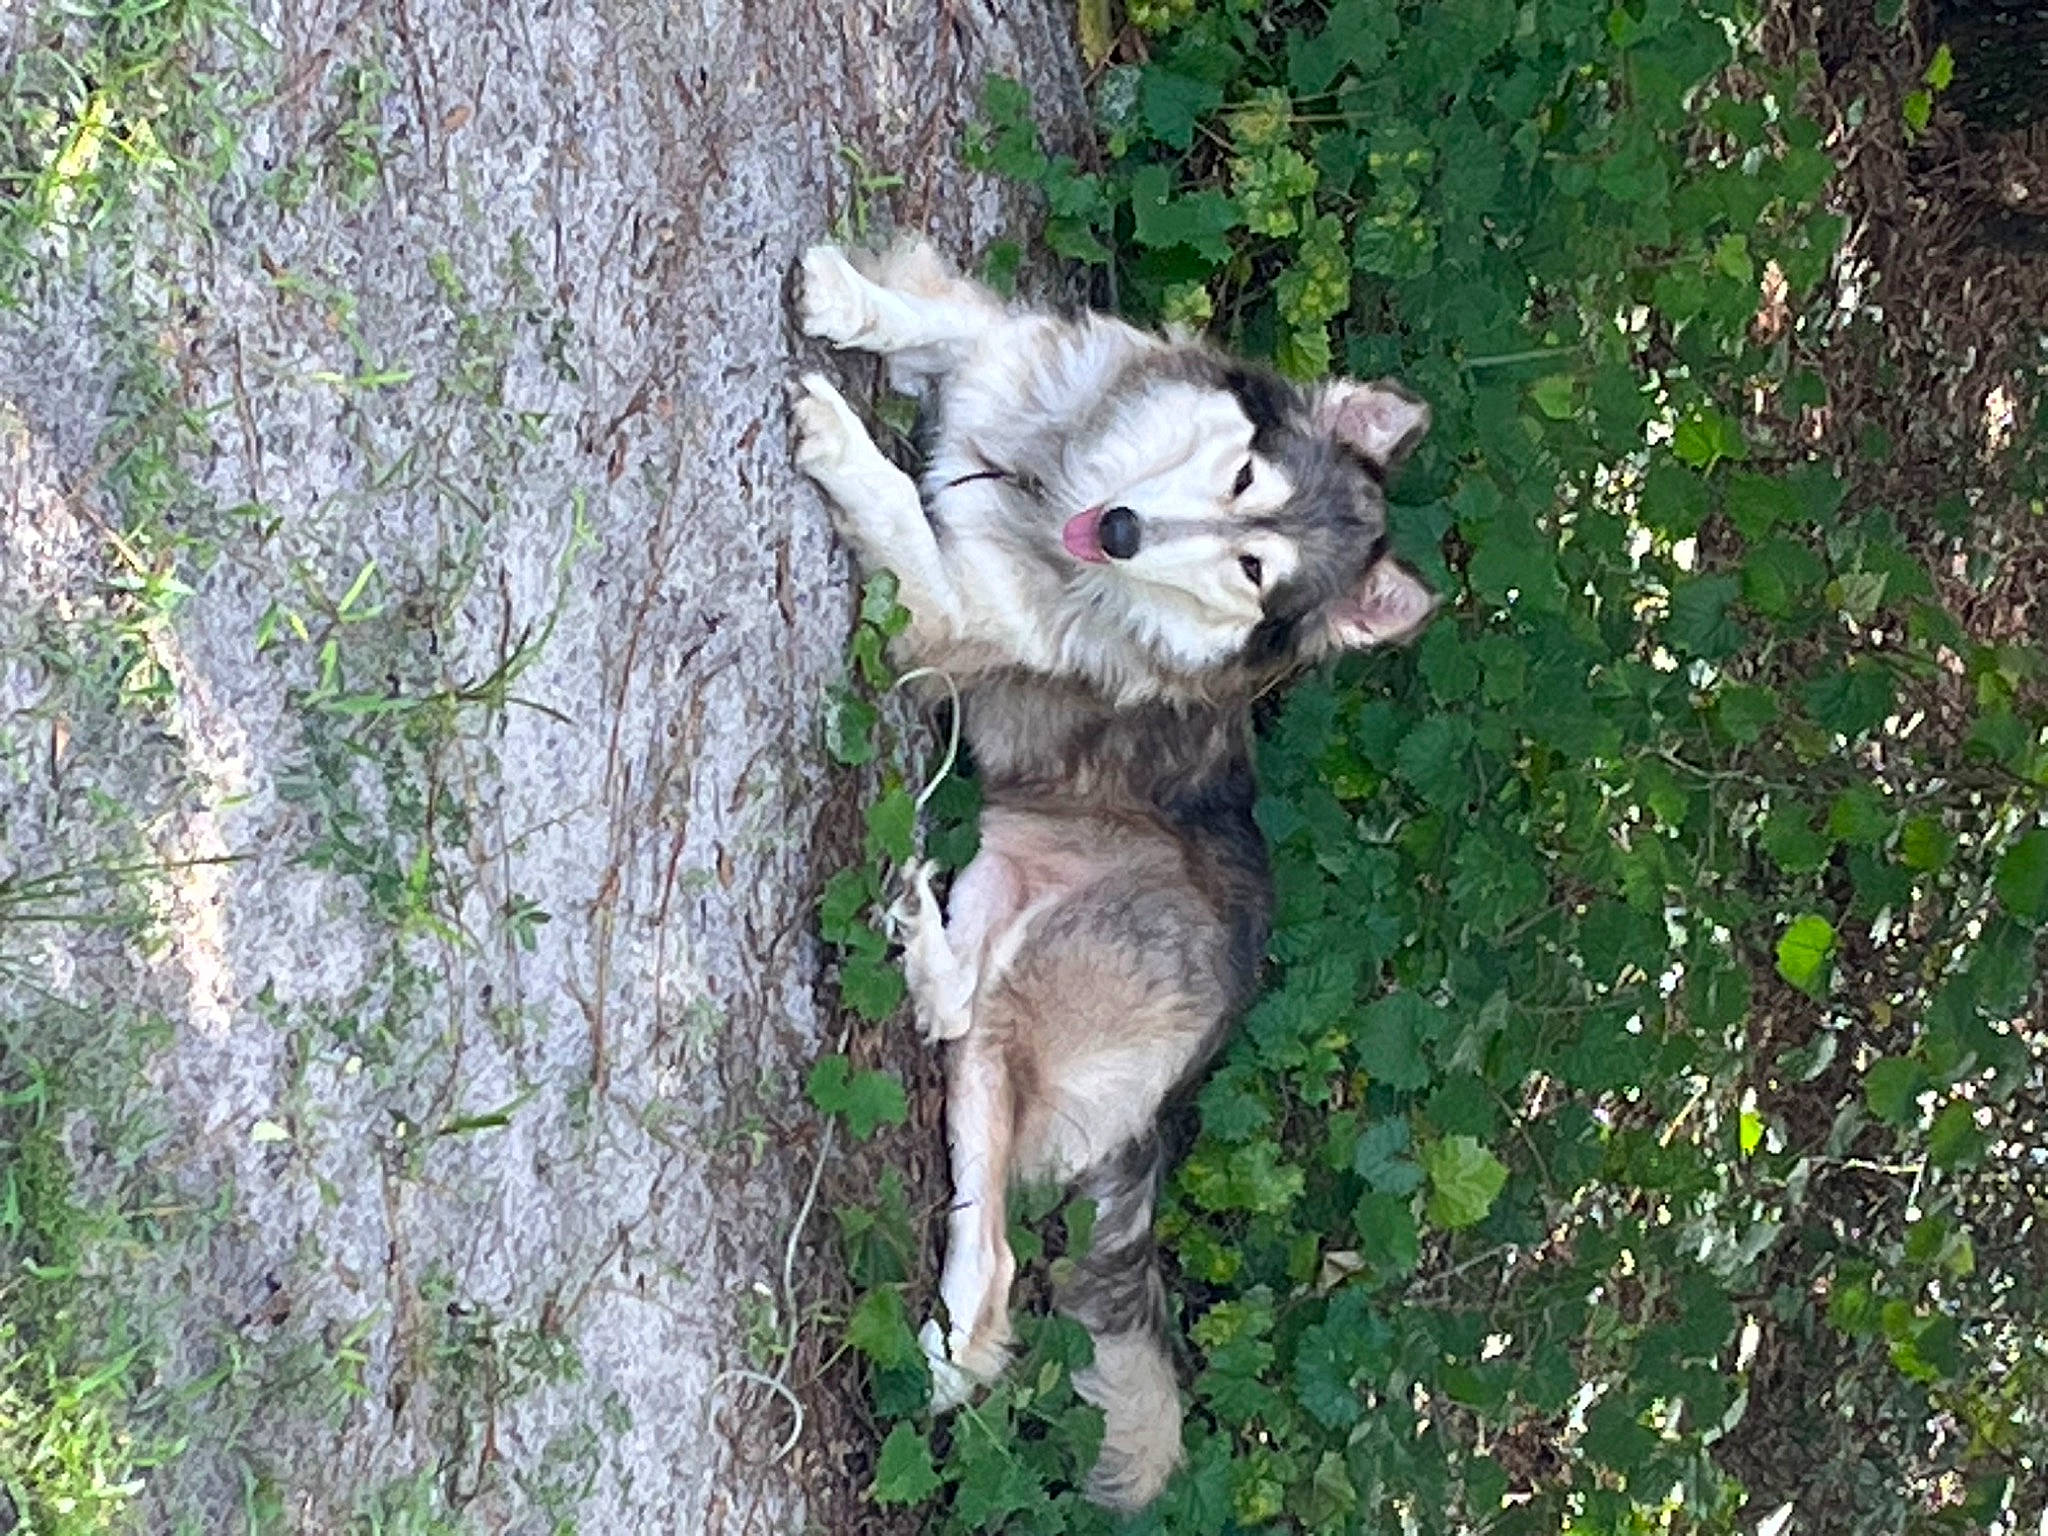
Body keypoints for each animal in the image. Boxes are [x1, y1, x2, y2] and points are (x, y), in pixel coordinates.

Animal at [789, 238, 1436, 1511]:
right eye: (1240, 476)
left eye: (1248, 568)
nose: (1127, 529)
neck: (1041, 487)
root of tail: (1193, 1083)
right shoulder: (1014, 355)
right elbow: (942, 321)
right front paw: (848, 299)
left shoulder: (943, 612)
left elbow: (899, 513)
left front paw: (840, 437)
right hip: (1001, 892)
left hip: (1042, 973)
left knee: (989, 1212)